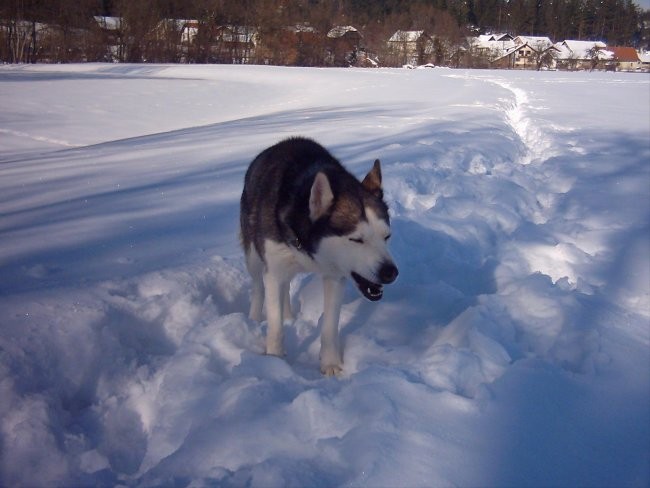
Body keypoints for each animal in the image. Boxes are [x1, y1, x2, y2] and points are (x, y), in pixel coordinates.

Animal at [240, 136, 398, 374]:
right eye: (356, 239)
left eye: (386, 236)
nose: (390, 272)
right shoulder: (274, 270)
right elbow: (275, 325)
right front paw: (274, 363)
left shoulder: (334, 277)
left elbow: (330, 326)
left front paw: (330, 364)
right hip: (254, 258)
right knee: (259, 287)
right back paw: (254, 319)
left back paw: (289, 317)